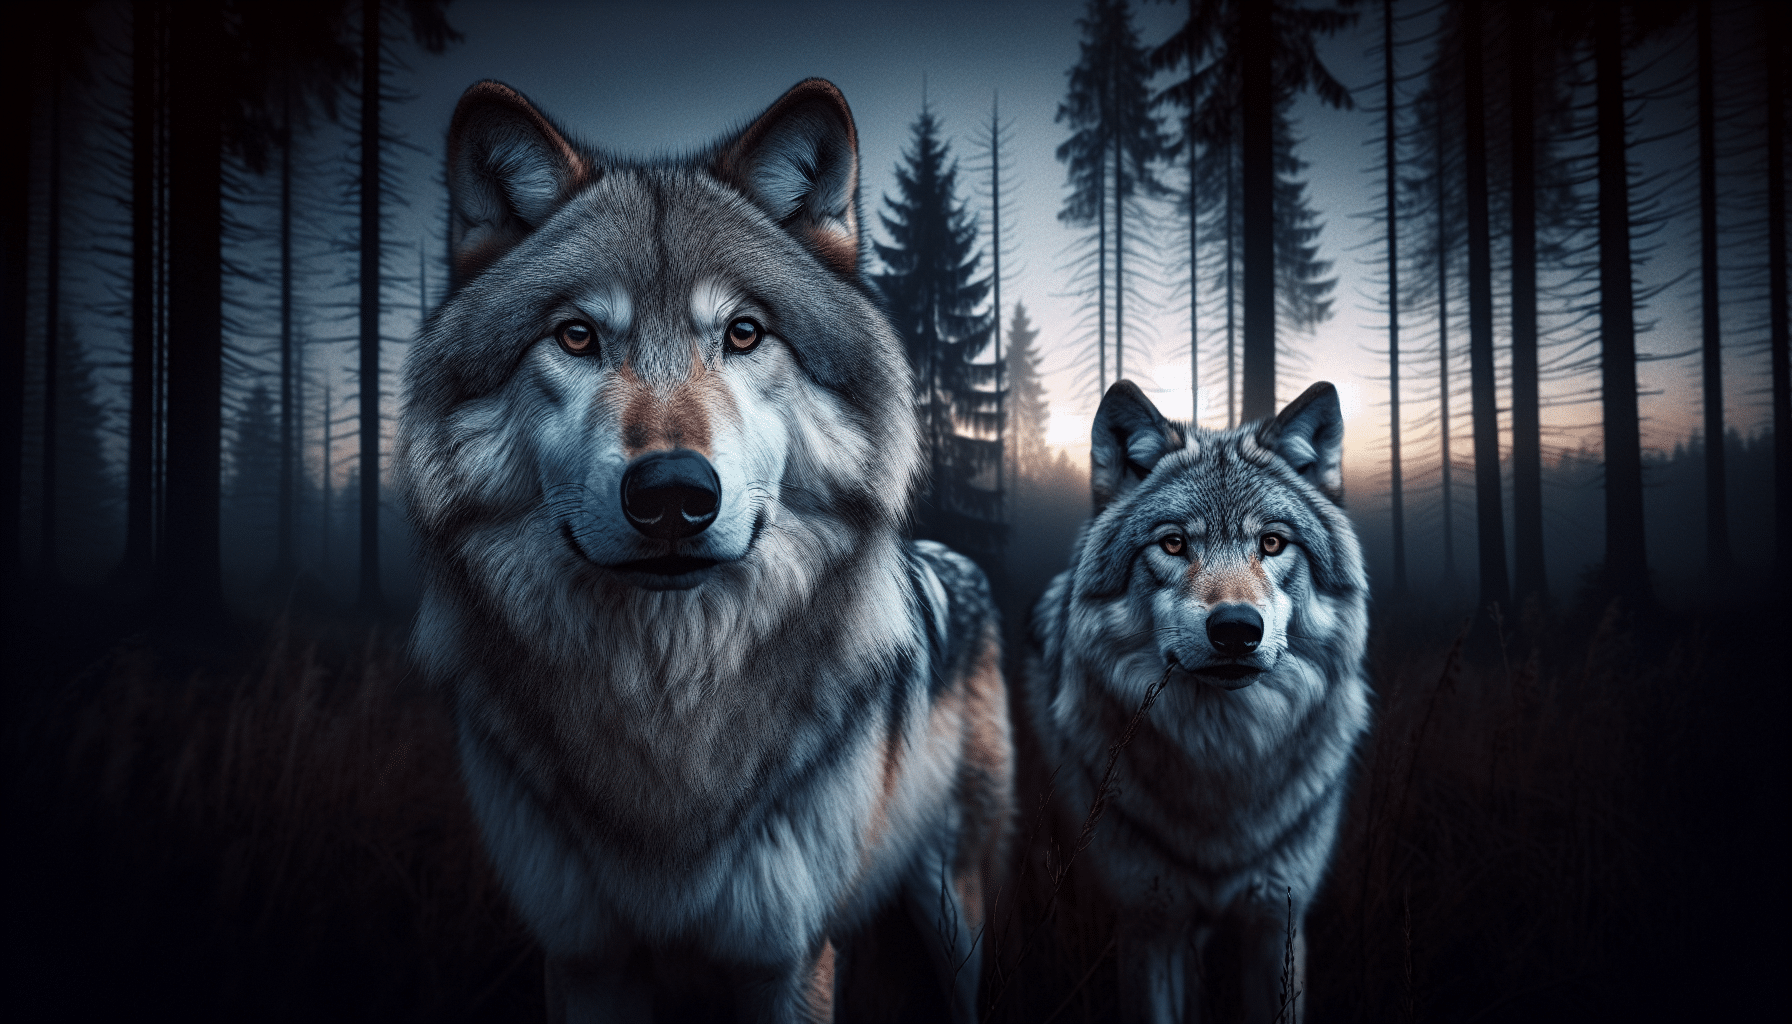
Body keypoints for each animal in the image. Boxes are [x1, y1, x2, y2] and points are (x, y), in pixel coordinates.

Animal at [397, 79, 1012, 1023]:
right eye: (577, 336)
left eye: (745, 333)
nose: (672, 495)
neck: (669, 709)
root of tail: (954, 558)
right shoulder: (587, 960)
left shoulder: (784, 959)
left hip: (954, 905)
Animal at [1024, 380, 1369, 1024]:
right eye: (1174, 542)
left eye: (1272, 542)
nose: (1236, 629)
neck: (1223, 761)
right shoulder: (1149, 921)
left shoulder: (1274, 920)